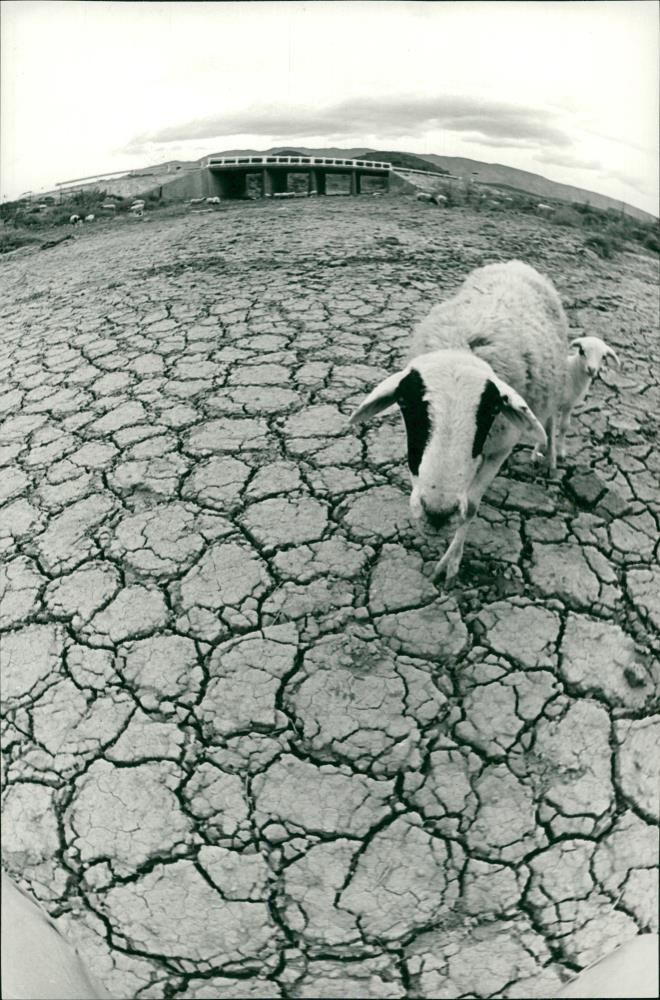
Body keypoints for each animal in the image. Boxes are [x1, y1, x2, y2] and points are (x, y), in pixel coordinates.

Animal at [348, 262, 568, 584]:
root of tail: (516, 263)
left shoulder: (500, 448)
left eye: (491, 410)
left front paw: (450, 564)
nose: (437, 514)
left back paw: (549, 459)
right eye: (405, 402)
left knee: (550, 422)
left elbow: (472, 507)